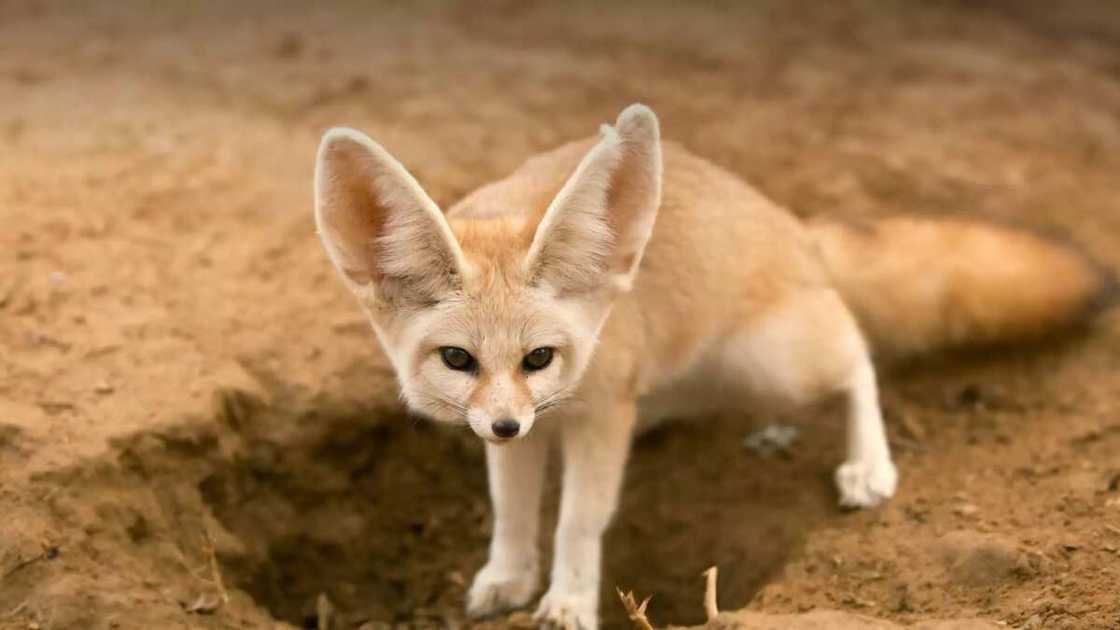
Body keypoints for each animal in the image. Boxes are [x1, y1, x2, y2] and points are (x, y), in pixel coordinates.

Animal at [311, 105, 1106, 623]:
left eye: (539, 357)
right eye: (457, 358)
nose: (506, 425)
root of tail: (792, 225)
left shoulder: (599, 416)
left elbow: (578, 521)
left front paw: (568, 600)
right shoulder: (522, 431)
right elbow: (511, 511)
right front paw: (507, 578)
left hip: (776, 358)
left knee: (857, 354)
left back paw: (867, 464)